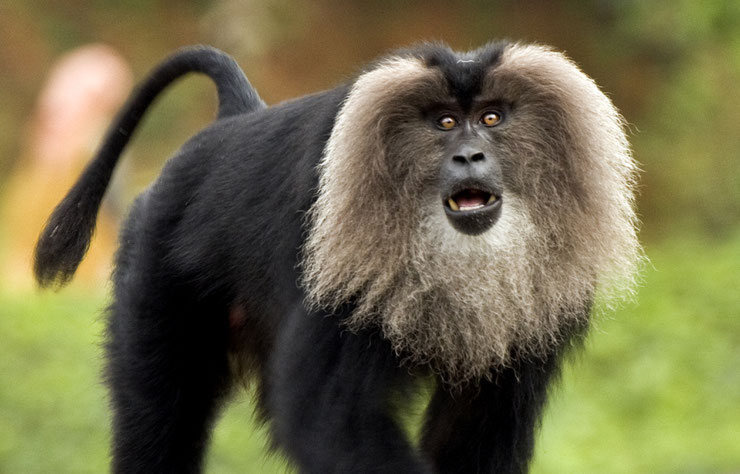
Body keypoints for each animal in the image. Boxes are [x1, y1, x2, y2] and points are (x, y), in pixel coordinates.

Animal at [34, 41, 640, 474]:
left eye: (492, 118)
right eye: (444, 122)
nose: (470, 156)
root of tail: (229, 125)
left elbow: (474, 430)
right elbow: (327, 418)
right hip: (154, 273)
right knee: (160, 419)